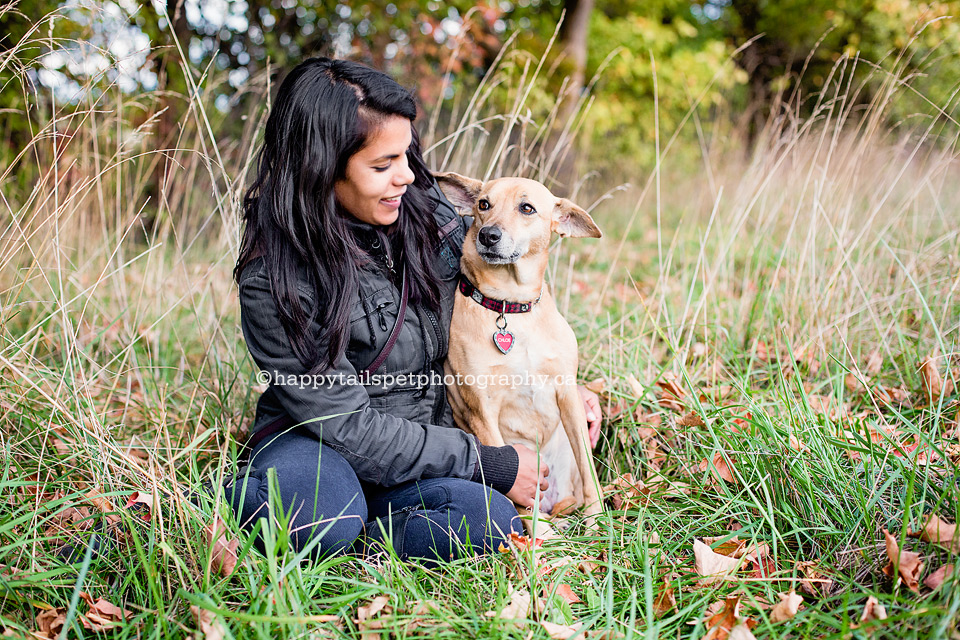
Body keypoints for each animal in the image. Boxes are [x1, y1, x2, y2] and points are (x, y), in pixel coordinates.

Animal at [436, 172, 604, 528]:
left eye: (526, 208)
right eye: (484, 204)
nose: (488, 235)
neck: (509, 306)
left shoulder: (568, 394)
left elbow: (588, 468)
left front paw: (598, 521)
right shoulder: (482, 411)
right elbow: (515, 485)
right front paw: (541, 538)